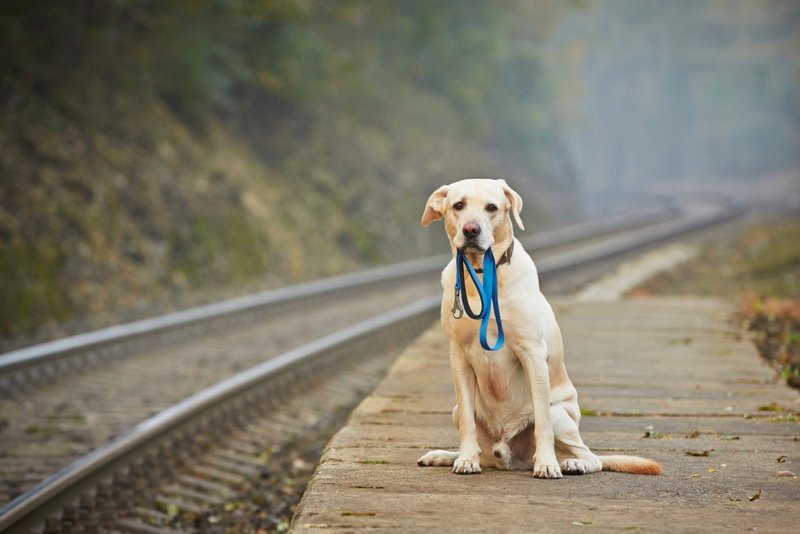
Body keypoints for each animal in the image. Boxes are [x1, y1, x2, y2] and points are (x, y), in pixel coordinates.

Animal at [416, 178, 660, 480]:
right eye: (458, 205)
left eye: (492, 207)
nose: (471, 230)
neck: (483, 277)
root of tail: (508, 456)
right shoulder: (458, 356)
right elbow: (467, 424)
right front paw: (465, 460)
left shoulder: (532, 353)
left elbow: (542, 420)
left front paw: (546, 463)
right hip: (456, 410)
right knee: (475, 435)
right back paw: (446, 455)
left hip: (561, 416)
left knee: (591, 457)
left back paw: (571, 463)